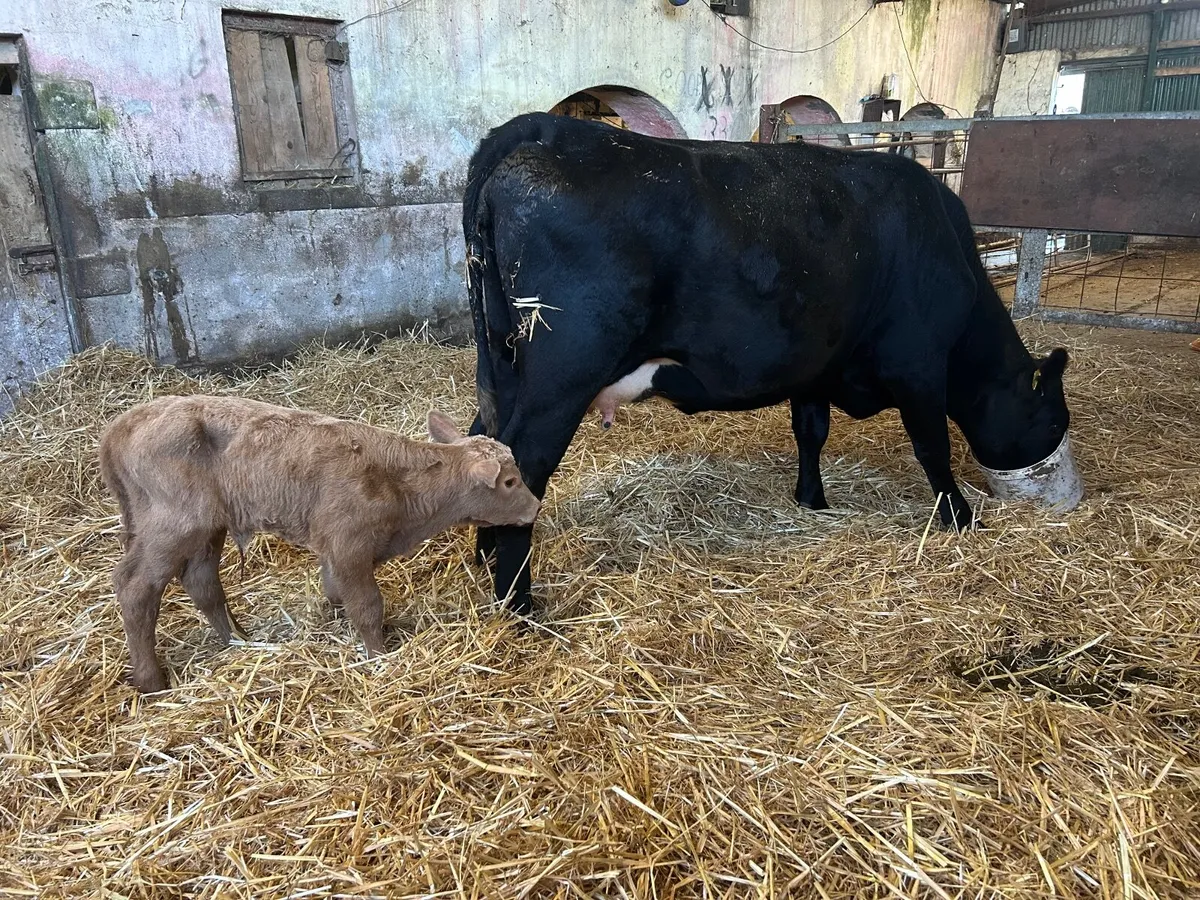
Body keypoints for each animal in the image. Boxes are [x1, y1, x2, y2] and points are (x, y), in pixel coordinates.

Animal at [99, 396, 540, 692]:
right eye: (509, 481)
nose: (535, 506)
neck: (399, 483)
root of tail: (123, 424)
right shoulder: (349, 545)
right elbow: (367, 605)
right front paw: (379, 655)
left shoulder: (332, 546)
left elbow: (334, 591)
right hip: (173, 526)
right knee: (135, 587)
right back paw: (151, 679)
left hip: (208, 527)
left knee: (202, 582)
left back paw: (238, 640)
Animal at [461, 113, 1074, 615]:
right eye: (1053, 422)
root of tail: (542, 129)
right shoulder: (918, 364)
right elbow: (933, 446)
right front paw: (960, 518)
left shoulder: (814, 366)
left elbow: (812, 431)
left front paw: (812, 500)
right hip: (564, 372)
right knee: (525, 459)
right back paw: (517, 602)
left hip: (507, 365)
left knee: (485, 440)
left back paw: (484, 555)